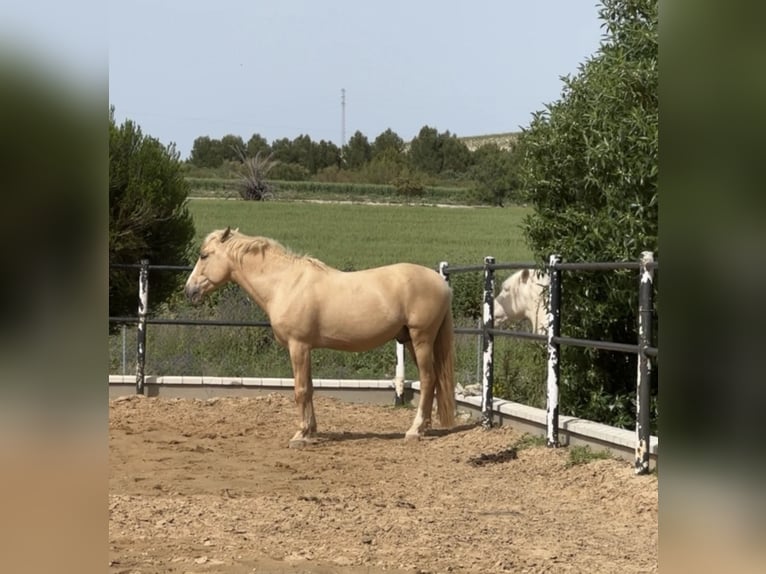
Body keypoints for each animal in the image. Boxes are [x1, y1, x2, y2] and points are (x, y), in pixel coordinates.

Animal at [184, 227, 456, 448]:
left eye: (204, 255)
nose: (189, 290)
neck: (285, 283)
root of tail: (441, 283)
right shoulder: (305, 349)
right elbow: (311, 388)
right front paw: (311, 431)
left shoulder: (298, 347)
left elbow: (301, 389)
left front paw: (301, 435)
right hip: (410, 341)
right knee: (432, 381)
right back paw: (424, 428)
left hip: (421, 339)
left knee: (428, 379)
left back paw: (414, 431)